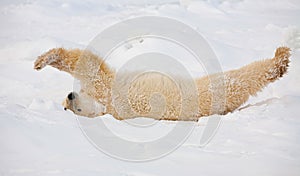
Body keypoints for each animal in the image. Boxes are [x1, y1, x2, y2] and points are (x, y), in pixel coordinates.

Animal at [34, 46, 292, 121]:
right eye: (72, 108)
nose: (69, 96)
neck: (106, 107)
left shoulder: (106, 91)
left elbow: (87, 64)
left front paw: (41, 60)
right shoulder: (109, 91)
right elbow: (90, 66)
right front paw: (44, 59)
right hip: (211, 92)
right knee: (241, 78)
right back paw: (280, 60)